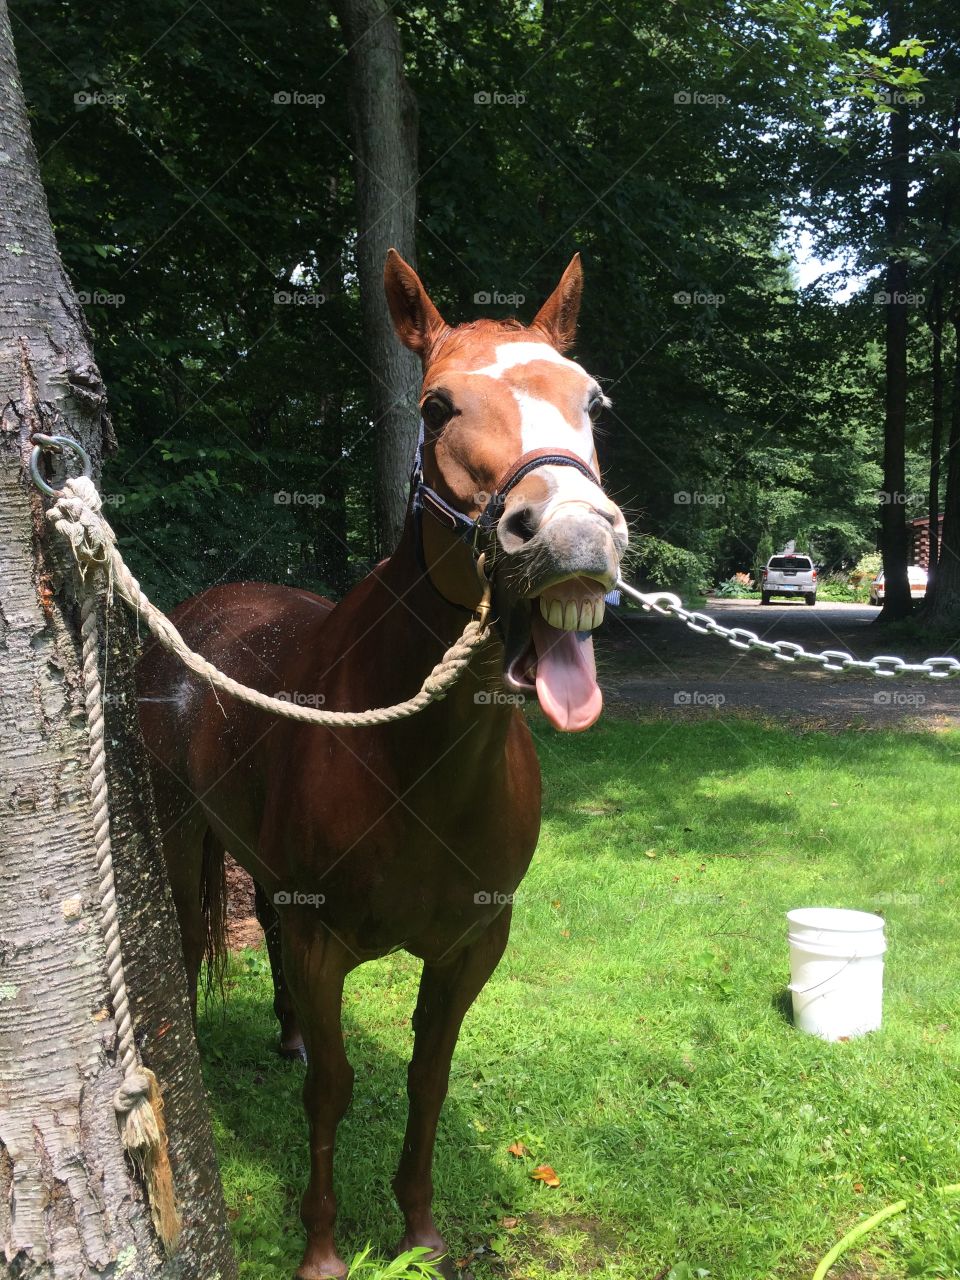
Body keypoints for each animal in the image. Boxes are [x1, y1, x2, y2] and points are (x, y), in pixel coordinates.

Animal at [136, 249, 628, 1279]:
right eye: (437, 407)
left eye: (593, 400)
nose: (572, 540)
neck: (418, 762)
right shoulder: (327, 943)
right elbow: (334, 1089)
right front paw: (323, 1247)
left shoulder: (472, 944)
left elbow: (426, 1079)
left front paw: (419, 1229)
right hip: (182, 831)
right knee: (196, 940)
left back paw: (283, 1032)